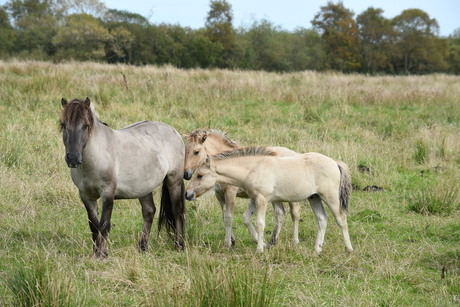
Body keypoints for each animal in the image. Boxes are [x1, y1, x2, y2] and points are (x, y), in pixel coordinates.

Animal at [59, 98, 185, 258]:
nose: (73, 159)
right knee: (149, 211)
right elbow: (94, 225)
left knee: (177, 211)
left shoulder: (107, 193)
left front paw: (101, 255)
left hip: (174, 180)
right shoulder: (86, 196)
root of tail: (173, 131)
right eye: (63, 125)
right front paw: (96, 253)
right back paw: (142, 247)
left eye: (85, 126)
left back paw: (179, 246)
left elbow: (104, 224)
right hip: (143, 187)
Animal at [185, 147, 354, 255]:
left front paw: (260, 249)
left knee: (341, 219)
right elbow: (247, 217)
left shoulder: (262, 199)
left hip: (330, 197)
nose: (187, 194)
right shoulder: (254, 198)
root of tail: (334, 162)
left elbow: (260, 223)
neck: (253, 168)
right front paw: (262, 244)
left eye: (200, 175)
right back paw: (317, 250)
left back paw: (348, 249)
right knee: (322, 219)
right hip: (315, 197)